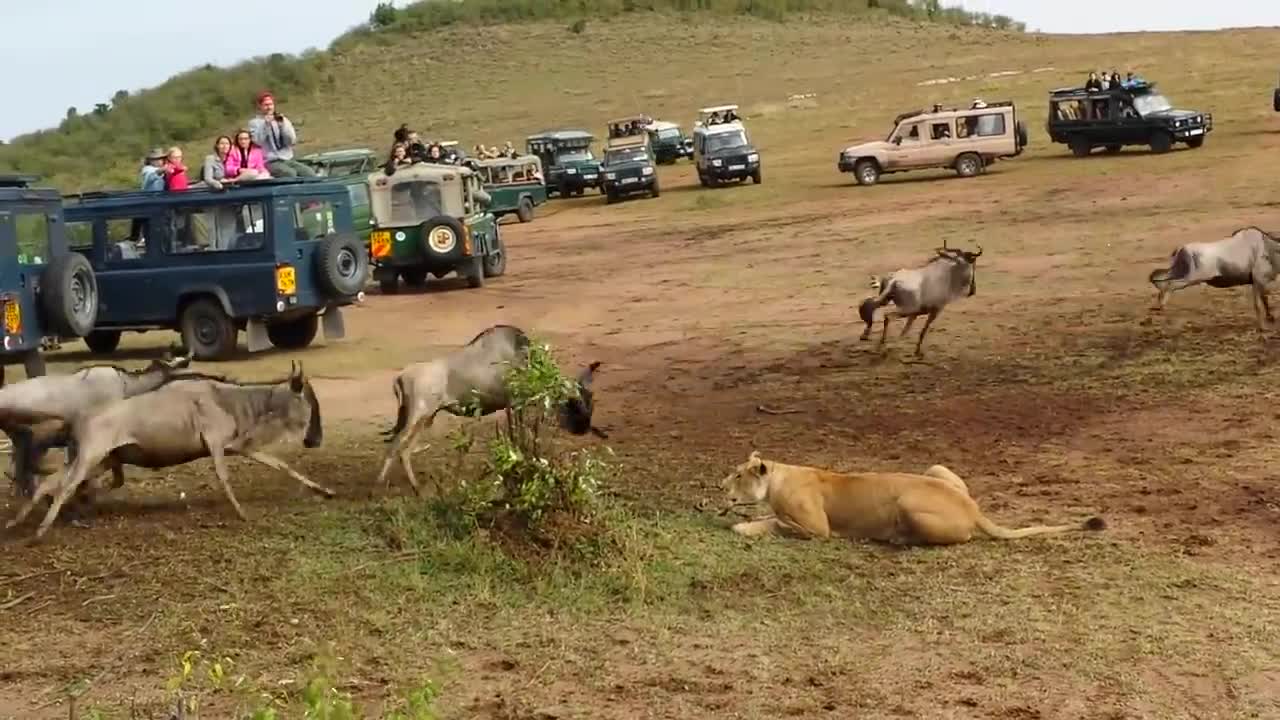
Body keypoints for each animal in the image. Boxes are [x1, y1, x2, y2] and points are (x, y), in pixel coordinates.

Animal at [8, 361, 327, 535]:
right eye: (308, 400)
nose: (315, 440)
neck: (230, 400)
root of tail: (77, 418)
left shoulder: (238, 446)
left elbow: (281, 465)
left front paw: (324, 490)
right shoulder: (216, 444)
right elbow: (224, 477)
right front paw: (241, 513)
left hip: (98, 459)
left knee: (50, 483)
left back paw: (19, 522)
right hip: (90, 456)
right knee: (64, 486)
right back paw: (40, 530)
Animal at [376, 324, 606, 491]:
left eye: (591, 402)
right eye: (574, 403)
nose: (584, 428)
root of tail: (399, 379)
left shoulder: (510, 405)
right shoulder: (515, 403)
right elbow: (516, 435)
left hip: (424, 418)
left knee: (403, 449)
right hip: (417, 415)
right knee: (396, 446)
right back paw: (381, 486)